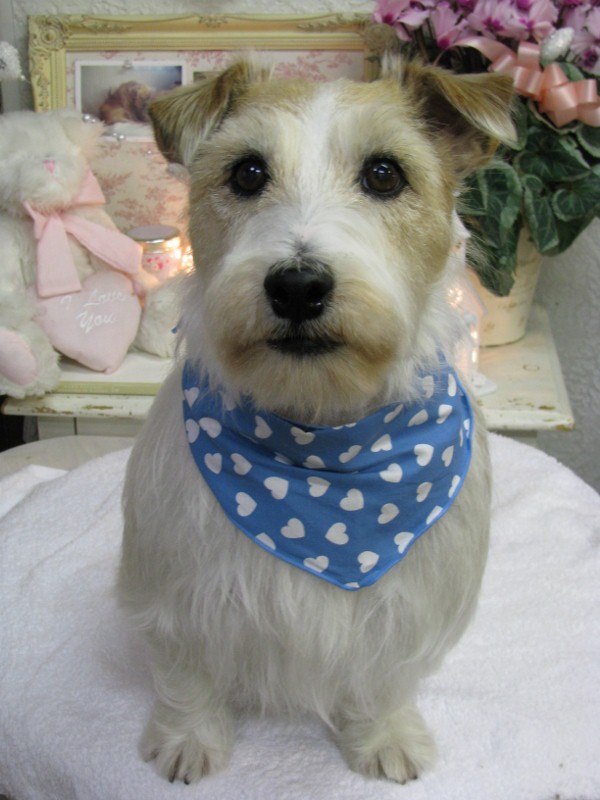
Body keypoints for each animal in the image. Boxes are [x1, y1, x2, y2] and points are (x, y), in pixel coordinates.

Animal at [118, 56, 514, 785]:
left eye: (384, 173)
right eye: (247, 172)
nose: (298, 286)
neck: (321, 443)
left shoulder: (407, 605)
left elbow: (383, 680)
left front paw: (384, 736)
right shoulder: (174, 593)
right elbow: (188, 676)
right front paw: (189, 739)